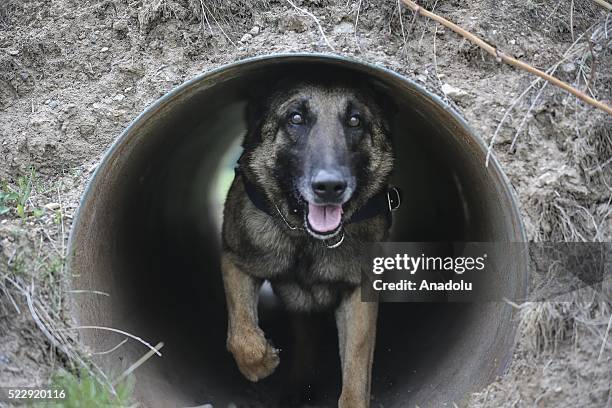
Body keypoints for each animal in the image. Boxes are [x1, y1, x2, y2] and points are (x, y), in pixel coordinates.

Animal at [220, 74, 396, 408]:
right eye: (296, 118)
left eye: (355, 120)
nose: (329, 187)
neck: (307, 239)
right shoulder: (236, 261)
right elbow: (241, 335)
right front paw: (260, 363)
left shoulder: (359, 293)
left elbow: (355, 370)